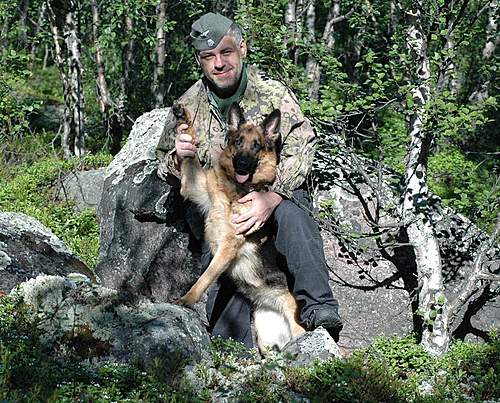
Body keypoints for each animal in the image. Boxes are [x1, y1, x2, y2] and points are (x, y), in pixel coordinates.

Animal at [176, 102, 304, 352]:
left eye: (256, 146)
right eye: (238, 142)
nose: (242, 165)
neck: (234, 191)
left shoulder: (229, 245)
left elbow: (206, 276)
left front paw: (187, 299)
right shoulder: (193, 186)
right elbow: (190, 152)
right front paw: (183, 120)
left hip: (300, 330)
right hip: (266, 338)